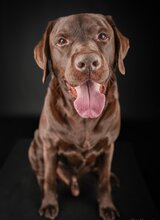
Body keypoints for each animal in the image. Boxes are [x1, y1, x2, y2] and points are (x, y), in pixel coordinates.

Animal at [28, 13, 129, 220]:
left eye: (103, 36)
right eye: (61, 41)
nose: (88, 61)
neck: (82, 119)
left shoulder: (109, 146)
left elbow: (104, 182)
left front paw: (107, 206)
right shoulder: (50, 146)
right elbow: (50, 179)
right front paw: (49, 203)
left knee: (102, 172)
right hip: (34, 144)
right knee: (42, 174)